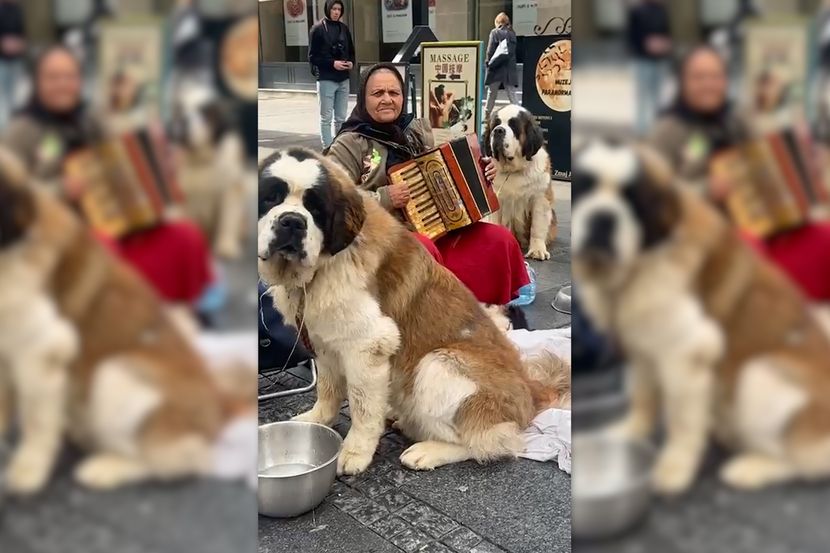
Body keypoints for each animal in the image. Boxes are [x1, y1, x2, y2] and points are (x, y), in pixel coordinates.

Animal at [0, 148, 253, 495]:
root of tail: (219, 404)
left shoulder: (41, 347)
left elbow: (35, 418)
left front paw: (26, 471)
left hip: (115, 373)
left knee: (178, 460)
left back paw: (105, 468)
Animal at [257, 147, 569, 475]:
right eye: (270, 198)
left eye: (315, 208)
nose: (292, 222)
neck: (323, 266)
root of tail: (531, 391)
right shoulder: (324, 340)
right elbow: (328, 389)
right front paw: (317, 420)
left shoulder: (369, 344)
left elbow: (362, 406)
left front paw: (355, 451)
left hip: (438, 365)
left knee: (488, 441)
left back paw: (428, 450)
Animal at [484, 104, 558, 260]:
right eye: (495, 124)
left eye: (514, 126)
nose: (498, 130)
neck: (514, 170)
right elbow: (495, 221)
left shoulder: (540, 199)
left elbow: (537, 225)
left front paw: (537, 250)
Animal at [572, 139, 830, 494]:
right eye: (583, 188)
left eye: (633, 202)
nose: (603, 218)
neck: (639, 265)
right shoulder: (643, 345)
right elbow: (643, 394)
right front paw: (630, 432)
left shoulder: (686, 351)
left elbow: (681, 418)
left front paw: (673, 468)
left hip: (760, 376)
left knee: (801, 461)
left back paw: (751, 468)